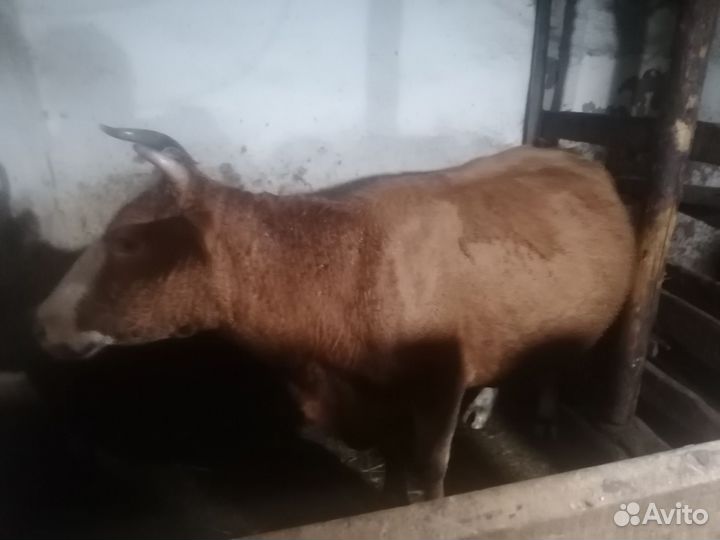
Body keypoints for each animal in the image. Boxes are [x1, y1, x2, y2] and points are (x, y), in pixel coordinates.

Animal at [34, 127, 636, 502]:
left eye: (128, 241)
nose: (40, 318)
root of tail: (575, 156)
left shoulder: (439, 381)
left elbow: (430, 468)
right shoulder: (380, 397)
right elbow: (394, 458)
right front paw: (389, 500)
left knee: (554, 367)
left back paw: (543, 415)